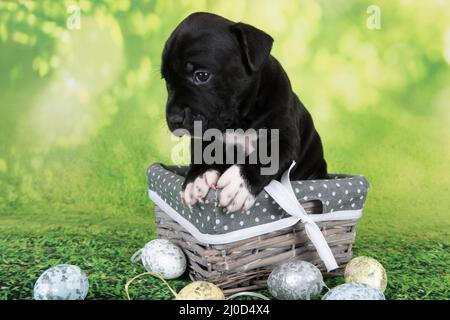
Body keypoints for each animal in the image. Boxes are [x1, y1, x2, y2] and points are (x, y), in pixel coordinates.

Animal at [162, 11, 326, 212]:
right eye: (167, 81)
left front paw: (238, 184)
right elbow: (201, 154)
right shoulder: (203, 138)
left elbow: (264, 159)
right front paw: (195, 179)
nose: (173, 118)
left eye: (202, 76)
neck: (239, 121)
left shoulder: (284, 140)